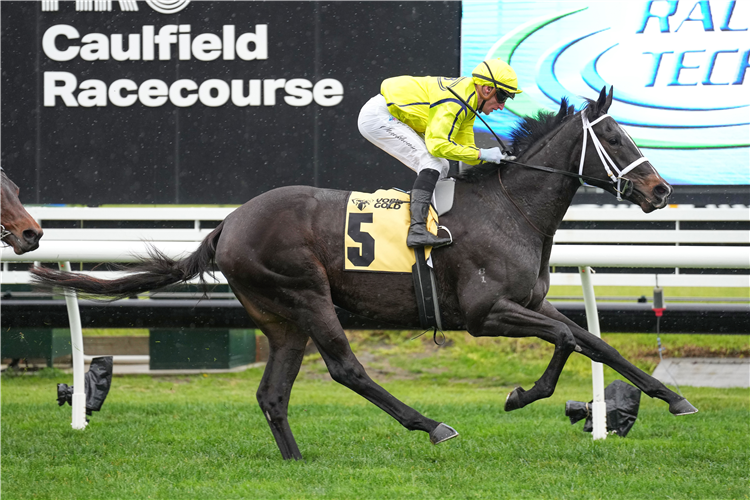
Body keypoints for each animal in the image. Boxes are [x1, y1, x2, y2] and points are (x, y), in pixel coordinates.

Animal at [29, 89, 700, 460]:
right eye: (616, 136)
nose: (661, 191)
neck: (512, 208)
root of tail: (228, 223)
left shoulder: (531, 303)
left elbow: (593, 341)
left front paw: (674, 397)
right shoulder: (485, 315)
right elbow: (564, 340)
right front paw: (521, 395)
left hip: (282, 321)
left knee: (272, 392)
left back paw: (296, 461)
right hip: (307, 295)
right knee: (346, 369)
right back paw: (431, 425)